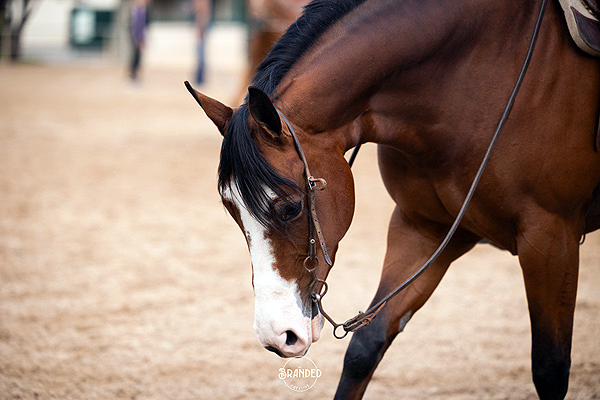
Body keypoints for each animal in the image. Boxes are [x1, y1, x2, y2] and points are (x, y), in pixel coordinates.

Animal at [185, 0, 596, 398]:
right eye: (231, 210)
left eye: (291, 208)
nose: (276, 336)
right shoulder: (424, 229)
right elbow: (366, 346)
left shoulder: (550, 238)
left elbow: (550, 368)